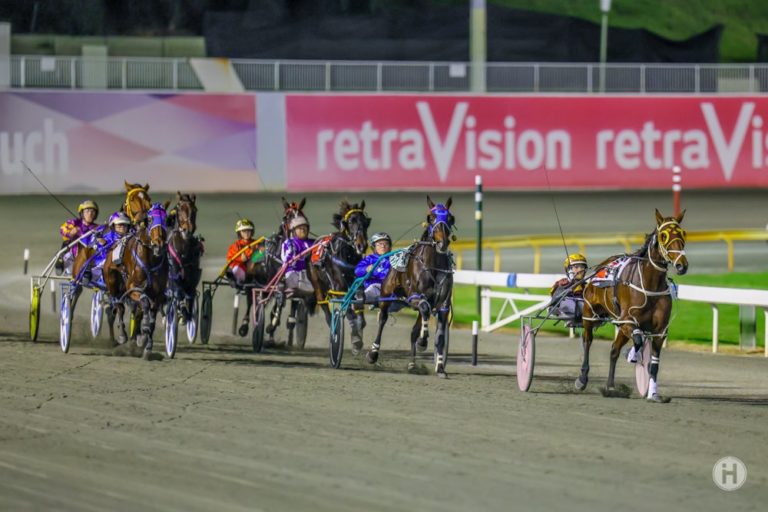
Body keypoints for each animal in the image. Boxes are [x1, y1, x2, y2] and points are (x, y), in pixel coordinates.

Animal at [104, 202, 170, 358]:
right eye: (150, 219)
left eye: (165, 219)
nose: (159, 245)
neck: (151, 259)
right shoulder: (133, 287)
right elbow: (144, 304)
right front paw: (143, 331)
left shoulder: (158, 295)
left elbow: (152, 318)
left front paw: (147, 345)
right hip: (113, 284)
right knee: (119, 306)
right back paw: (122, 335)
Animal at [166, 192, 203, 322]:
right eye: (180, 209)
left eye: (195, 210)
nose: (188, 229)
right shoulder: (174, 272)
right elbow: (178, 291)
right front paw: (182, 312)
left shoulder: (193, 273)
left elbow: (190, 293)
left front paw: (188, 313)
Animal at [307, 200, 370, 354]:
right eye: (351, 221)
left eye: (365, 222)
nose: (361, 245)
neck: (346, 255)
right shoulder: (338, 287)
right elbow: (348, 311)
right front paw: (355, 338)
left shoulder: (356, 283)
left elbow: (359, 302)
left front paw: (357, 336)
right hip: (317, 284)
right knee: (325, 308)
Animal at [365, 197, 455, 377]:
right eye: (431, 217)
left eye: (450, 218)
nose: (442, 243)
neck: (433, 266)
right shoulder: (415, 297)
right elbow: (425, 309)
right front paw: (423, 341)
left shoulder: (443, 304)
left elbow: (440, 335)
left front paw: (440, 367)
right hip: (386, 296)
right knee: (382, 319)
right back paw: (373, 353)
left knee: (414, 329)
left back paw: (413, 364)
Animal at [577, 209, 688, 402]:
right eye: (664, 235)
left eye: (683, 233)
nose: (682, 265)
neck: (650, 285)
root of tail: (602, 265)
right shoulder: (628, 321)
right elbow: (637, 339)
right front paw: (632, 355)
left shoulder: (660, 331)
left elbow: (654, 364)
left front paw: (653, 394)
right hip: (589, 314)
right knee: (587, 340)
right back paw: (582, 379)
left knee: (613, 350)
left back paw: (610, 387)